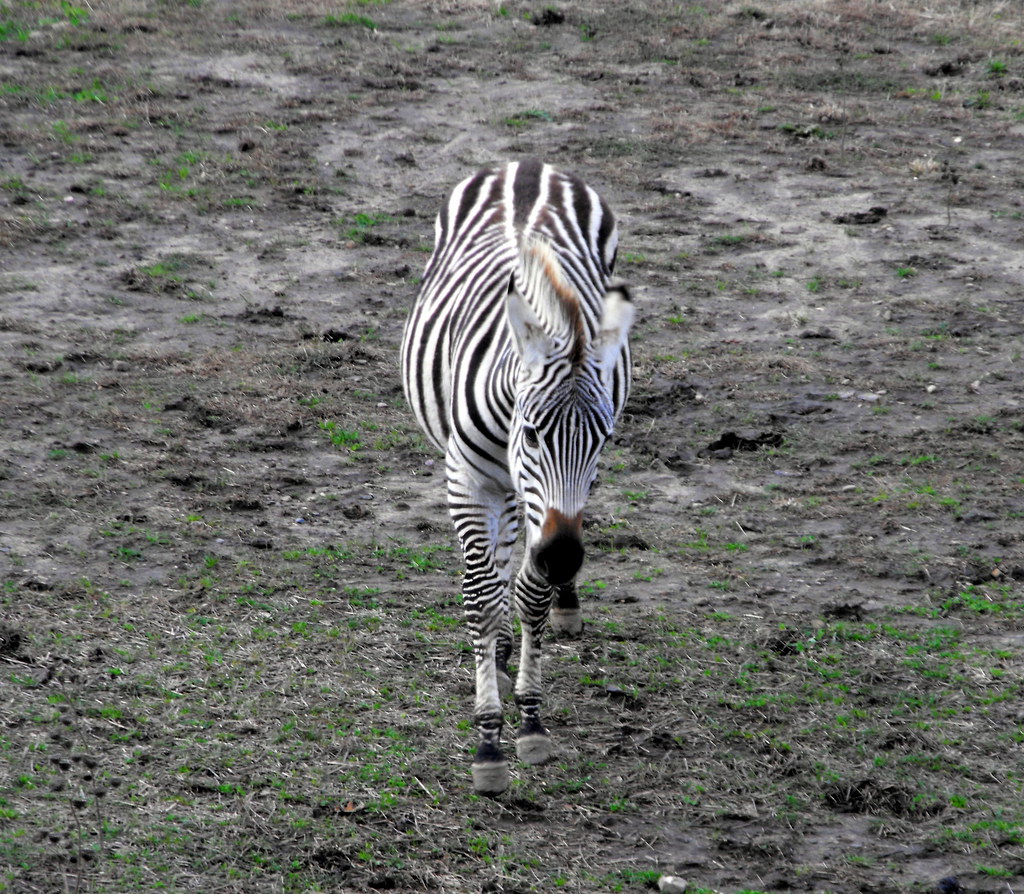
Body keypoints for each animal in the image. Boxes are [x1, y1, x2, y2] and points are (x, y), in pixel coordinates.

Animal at [401, 159, 633, 795]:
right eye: (532, 433)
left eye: (602, 440)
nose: (563, 557)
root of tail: (527, 165)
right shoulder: (468, 480)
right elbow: (482, 596)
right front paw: (488, 741)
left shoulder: (554, 505)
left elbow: (532, 594)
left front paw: (530, 719)